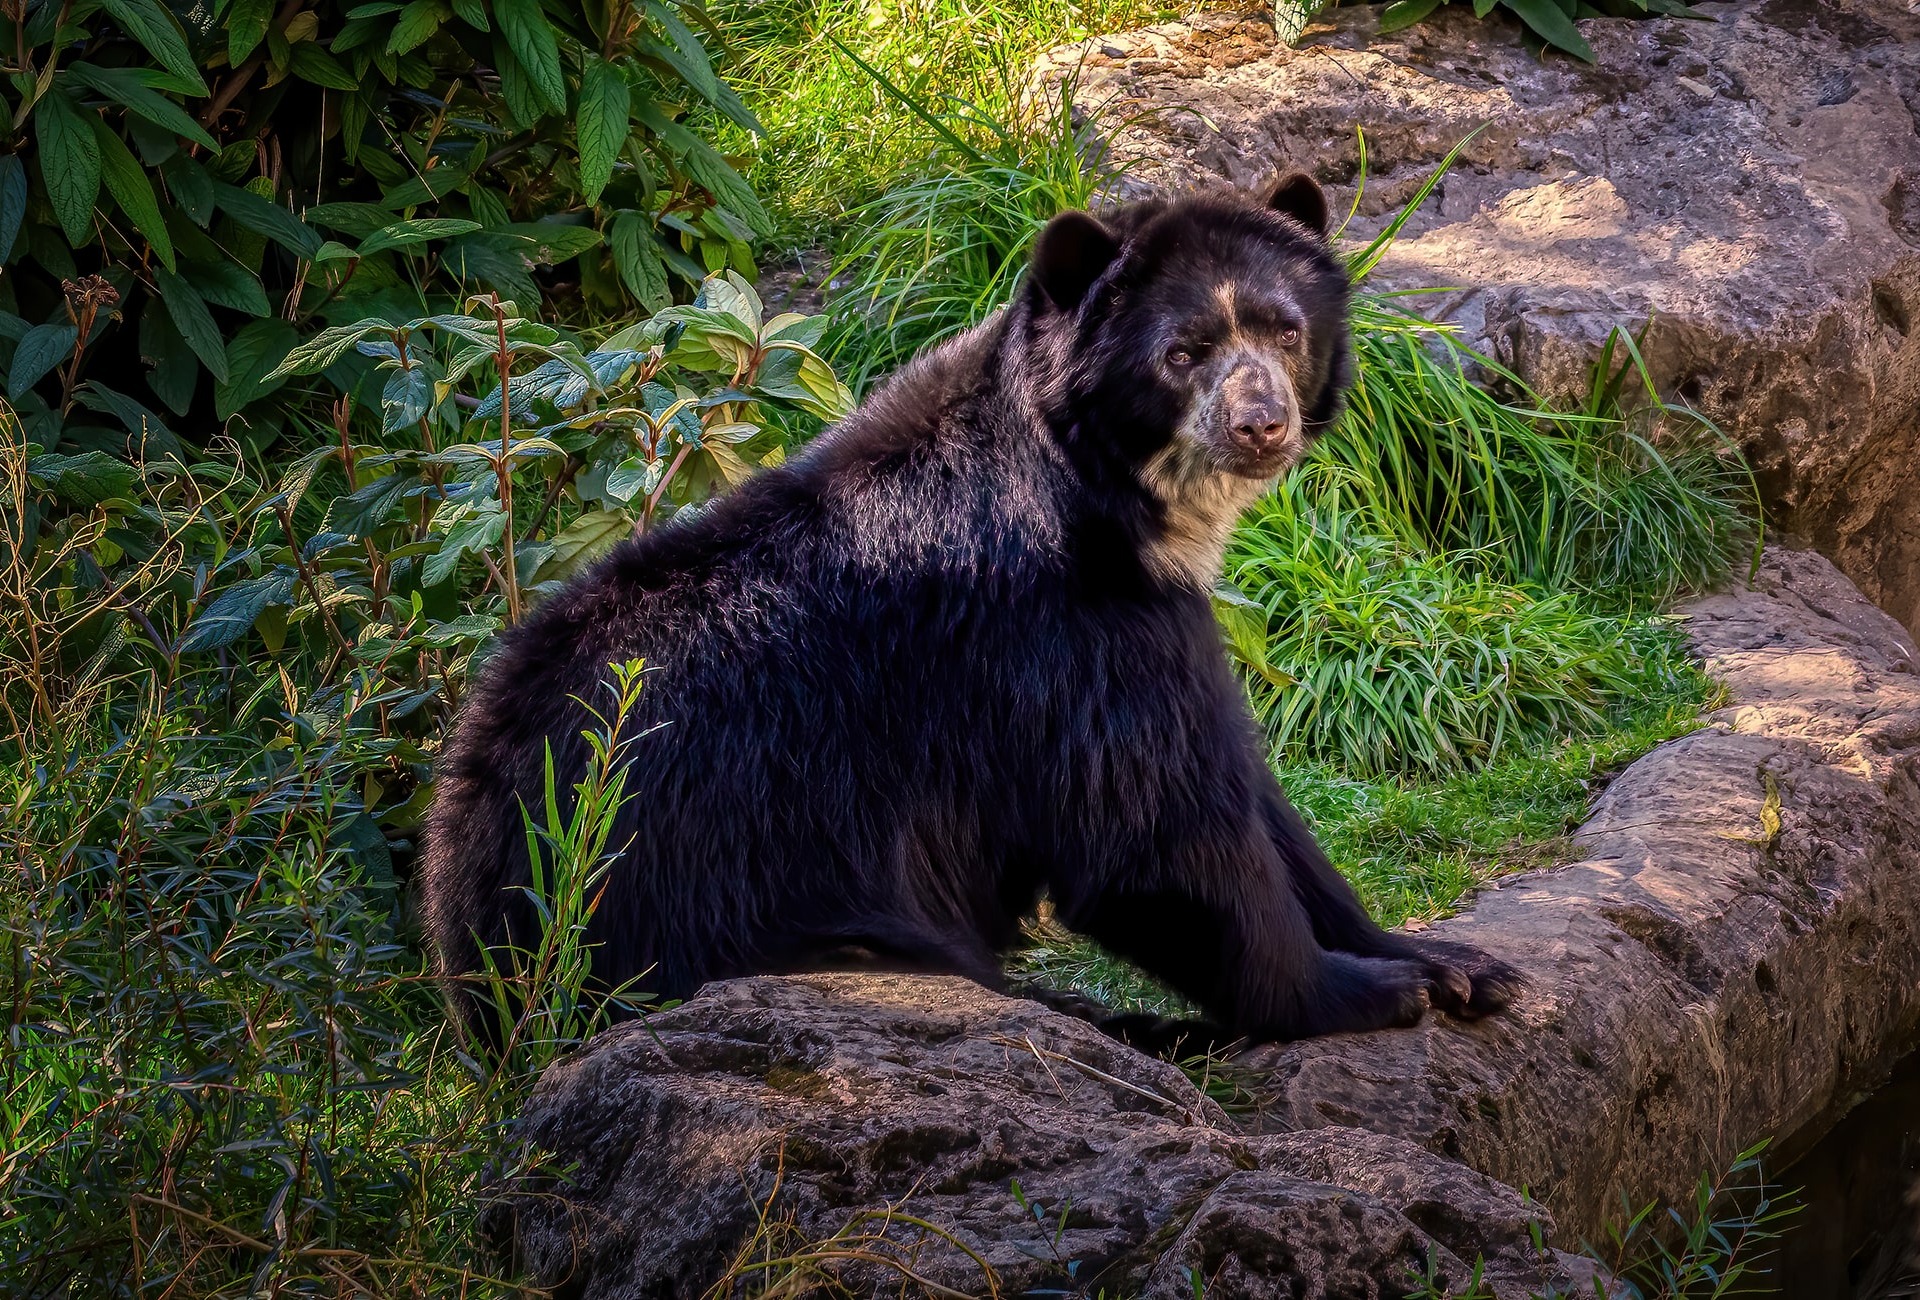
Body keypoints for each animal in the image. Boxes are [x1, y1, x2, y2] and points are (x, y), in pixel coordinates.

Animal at [420, 174, 1512, 1044]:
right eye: (1184, 350)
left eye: (1285, 327)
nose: (1261, 424)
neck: (1115, 507)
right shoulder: (1056, 632)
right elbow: (1156, 827)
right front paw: (1366, 989)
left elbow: (1250, 791)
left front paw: (1455, 960)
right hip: (729, 900)